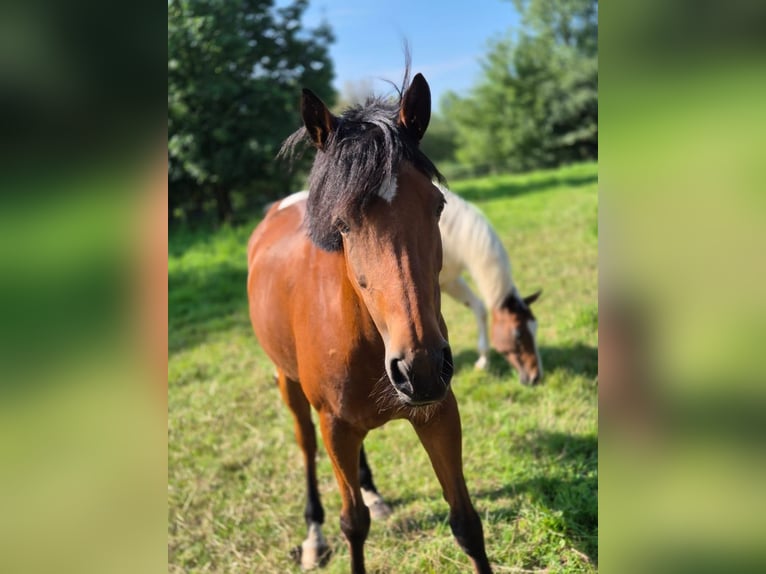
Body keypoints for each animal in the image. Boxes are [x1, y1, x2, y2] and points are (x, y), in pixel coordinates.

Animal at [249, 73, 496, 574]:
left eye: (437, 206)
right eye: (341, 223)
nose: (420, 368)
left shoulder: (439, 413)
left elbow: (465, 521)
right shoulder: (335, 427)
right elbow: (353, 525)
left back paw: (373, 493)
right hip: (289, 385)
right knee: (306, 448)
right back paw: (313, 534)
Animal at [440, 189, 544, 384]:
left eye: (535, 327)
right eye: (518, 335)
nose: (536, 377)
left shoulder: (448, 281)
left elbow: (479, 308)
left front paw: (483, 361)